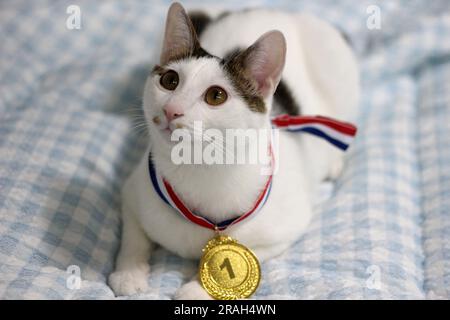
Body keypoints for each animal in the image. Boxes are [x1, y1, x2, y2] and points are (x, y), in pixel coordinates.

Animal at [109, 1, 358, 300]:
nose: (171, 110)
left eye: (216, 96)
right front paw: (129, 272)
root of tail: (275, 11)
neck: (199, 168)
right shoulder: (134, 191)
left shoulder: (287, 228)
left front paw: (196, 289)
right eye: (169, 80)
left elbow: (243, 256)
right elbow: (133, 237)